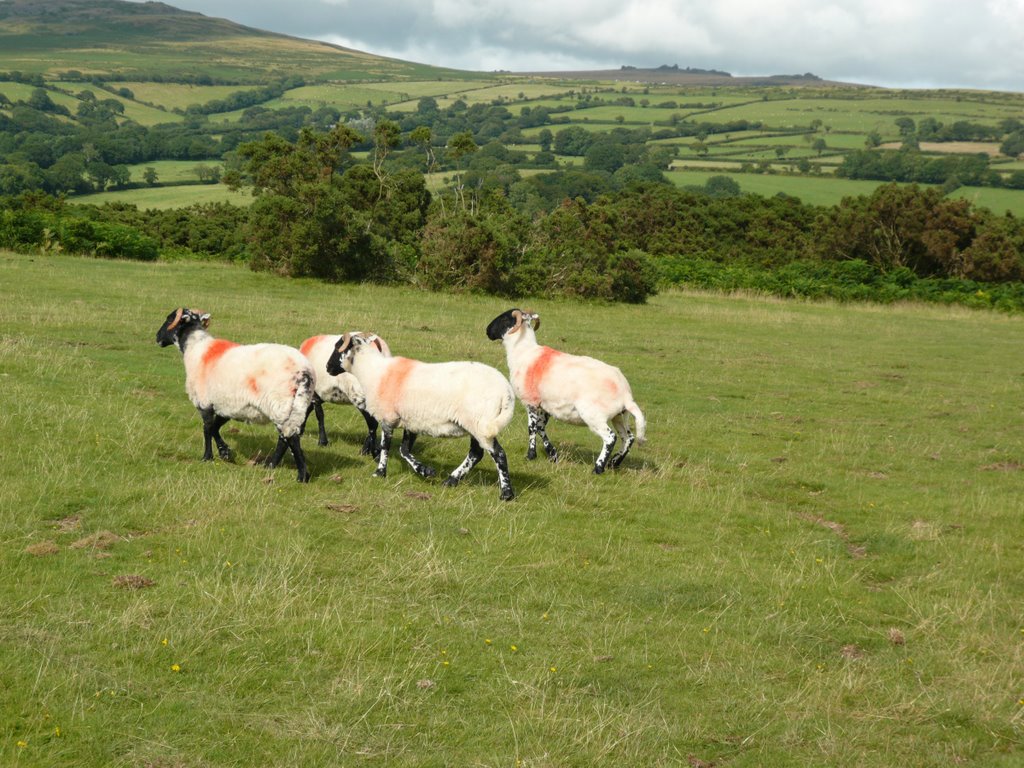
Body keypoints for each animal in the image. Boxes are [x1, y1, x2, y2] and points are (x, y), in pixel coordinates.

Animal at [155, 309, 313, 483]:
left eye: (169, 319)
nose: (157, 337)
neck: (196, 347)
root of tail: (303, 372)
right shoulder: (226, 406)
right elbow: (215, 428)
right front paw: (225, 452)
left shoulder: (204, 402)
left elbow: (207, 428)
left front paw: (207, 457)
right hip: (296, 407)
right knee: (285, 438)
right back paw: (271, 465)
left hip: (280, 405)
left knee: (290, 438)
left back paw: (301, 475)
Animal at [327, 333, 516, 501]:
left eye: (338, 347)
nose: (328, 368)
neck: (373, 372)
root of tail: (506, 391)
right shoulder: (410, 421)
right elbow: (404, 450)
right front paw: (426, 471)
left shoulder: (388, 417)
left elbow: (385, 447)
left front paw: (380, 472)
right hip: (476, 424)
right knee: (476, 454)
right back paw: (451, 480)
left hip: (480, 423)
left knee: (498, 454)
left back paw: (506, 493)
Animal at [483, 307, 643, 475]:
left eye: (504, 319)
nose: (487, 331)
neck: (524, 352)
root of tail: (625, 395)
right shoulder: (545, 405)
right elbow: (540, 428)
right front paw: (552, 455)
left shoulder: (531, 401)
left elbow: (532, 428)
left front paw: (531, 455)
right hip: (620, 415)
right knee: (628, 438)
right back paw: (614, 463)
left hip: (594, 415)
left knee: (610, 438)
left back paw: (598, 468)